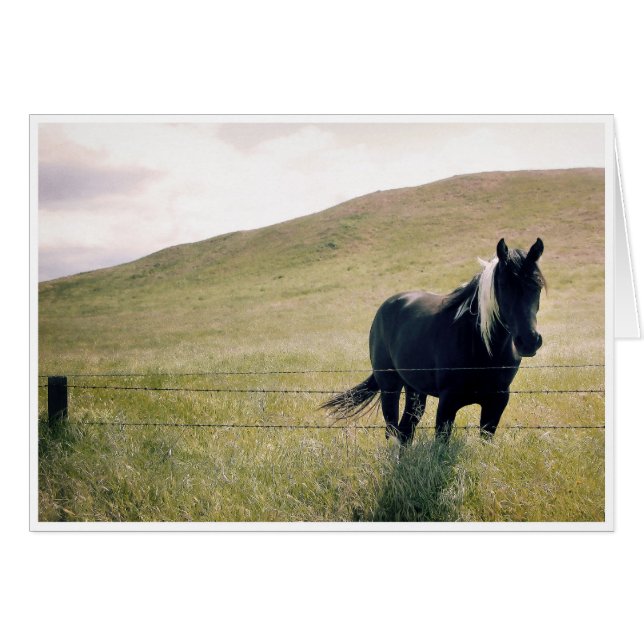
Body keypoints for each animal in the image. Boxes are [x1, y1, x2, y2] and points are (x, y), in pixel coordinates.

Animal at [322, 238, 546, 444]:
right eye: (503, 286)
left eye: (537, 286)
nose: (528, 341)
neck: (481, 347)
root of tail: (387, 306)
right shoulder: (448, 401)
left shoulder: (497, 401)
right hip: (390, 386)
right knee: (392, 430)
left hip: (415, 390)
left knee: (405, 431)